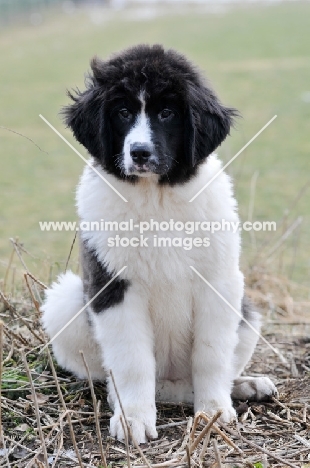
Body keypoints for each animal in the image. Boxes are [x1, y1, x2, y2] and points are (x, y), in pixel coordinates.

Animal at [41, 45, 276, 444]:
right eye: (122, 112)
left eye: (167, 113)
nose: (139, 153)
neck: (156, 199)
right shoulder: (112, 286)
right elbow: (132, 361)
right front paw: (134, 418)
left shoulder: (220, 282)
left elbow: (211, 354)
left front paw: (213, 412)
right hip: (65, 302)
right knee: (123, 377)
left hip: (247, 310)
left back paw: (244, 386)